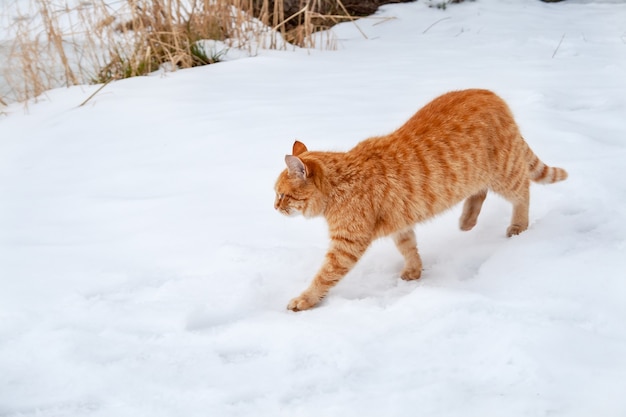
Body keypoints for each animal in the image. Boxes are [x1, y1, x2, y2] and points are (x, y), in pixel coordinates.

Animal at [272, 89, 564, 310]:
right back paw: (468, 220)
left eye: (283, 195)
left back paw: (518, 225)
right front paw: (415, 270)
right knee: (479, 191)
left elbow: (325, 276)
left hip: (505, 173)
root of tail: (492, 94)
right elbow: (408, 247)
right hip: (475, 176)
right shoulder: (399, 223)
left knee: (523, 190)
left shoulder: (346, 245)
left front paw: (306, 299)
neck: (341, 181)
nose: (274, 207)